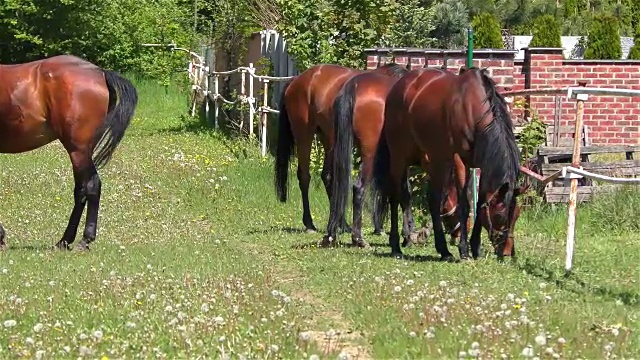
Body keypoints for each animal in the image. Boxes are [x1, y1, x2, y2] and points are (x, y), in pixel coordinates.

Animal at [0, 54, 139, 252]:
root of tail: (99, 72)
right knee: (81, 190)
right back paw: (65, 241)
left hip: (78, 150)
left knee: (91, 185)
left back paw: (84, 240)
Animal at [274, 62, 404, 233]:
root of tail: (296, 80)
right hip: (304, 136)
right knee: (304, 176)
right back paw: (310, 223)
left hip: (329, 139)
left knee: (328, 176)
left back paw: (342, 224)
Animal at [372, 66, 524, 260]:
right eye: (499, 215)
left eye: (516, 215)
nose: (507, 252)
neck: (474, 108)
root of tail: (398, 87)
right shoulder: (460, 161)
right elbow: (465, 204)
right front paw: (464, 249)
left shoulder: (482, 164)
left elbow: (480, 201)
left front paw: (476, 247)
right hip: (400, 157)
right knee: (395, 196)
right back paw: (396, 246)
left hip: (436, 161)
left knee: (433, 200)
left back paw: (443, 250)